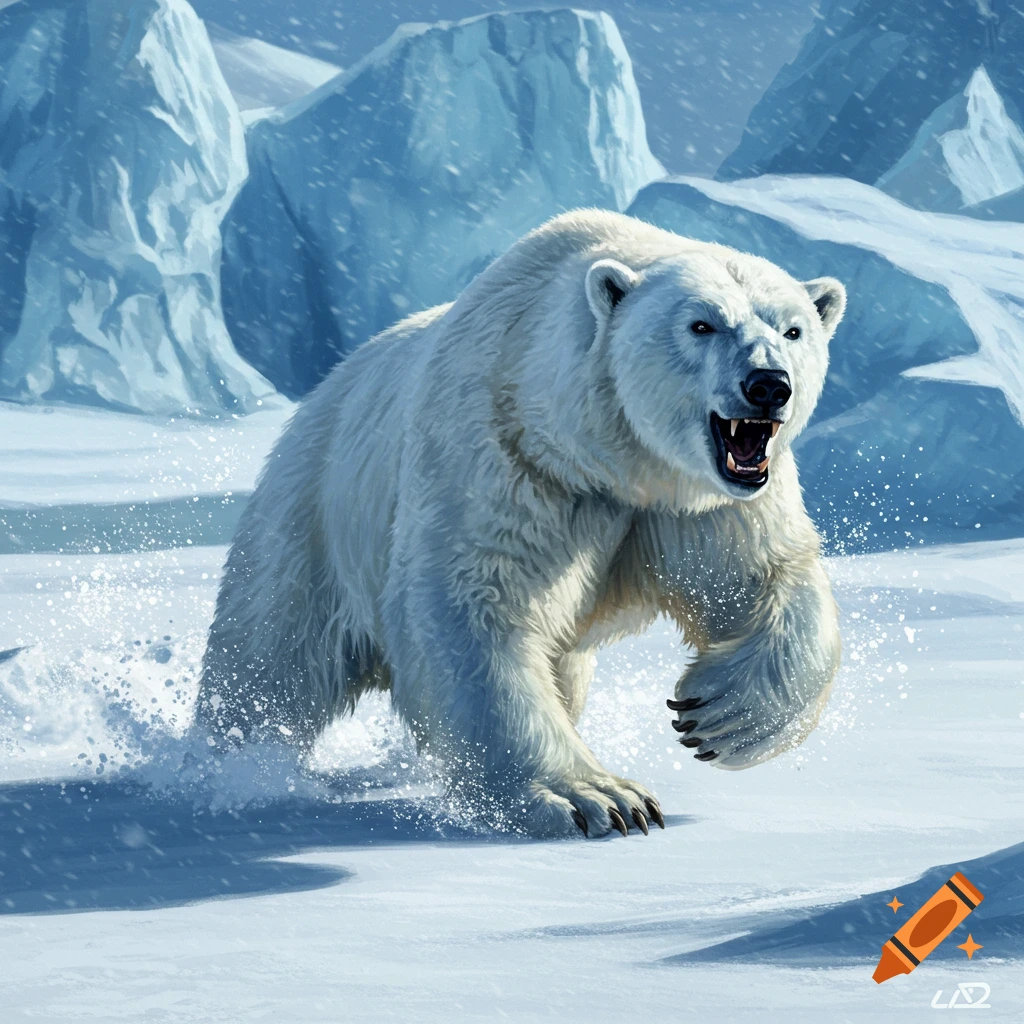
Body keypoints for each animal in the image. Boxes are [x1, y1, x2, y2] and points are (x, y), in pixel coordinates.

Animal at [196, 208, 846, 838]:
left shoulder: (703, 503)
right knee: (271, 656)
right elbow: (474, 604)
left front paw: (716, 716)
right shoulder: (507, 456)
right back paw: (237, 764)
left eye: (792, 330)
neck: (606, 456)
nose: (768, 385)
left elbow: (761, 577)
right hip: (314, 514)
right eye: (701, 325)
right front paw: (598, 800)